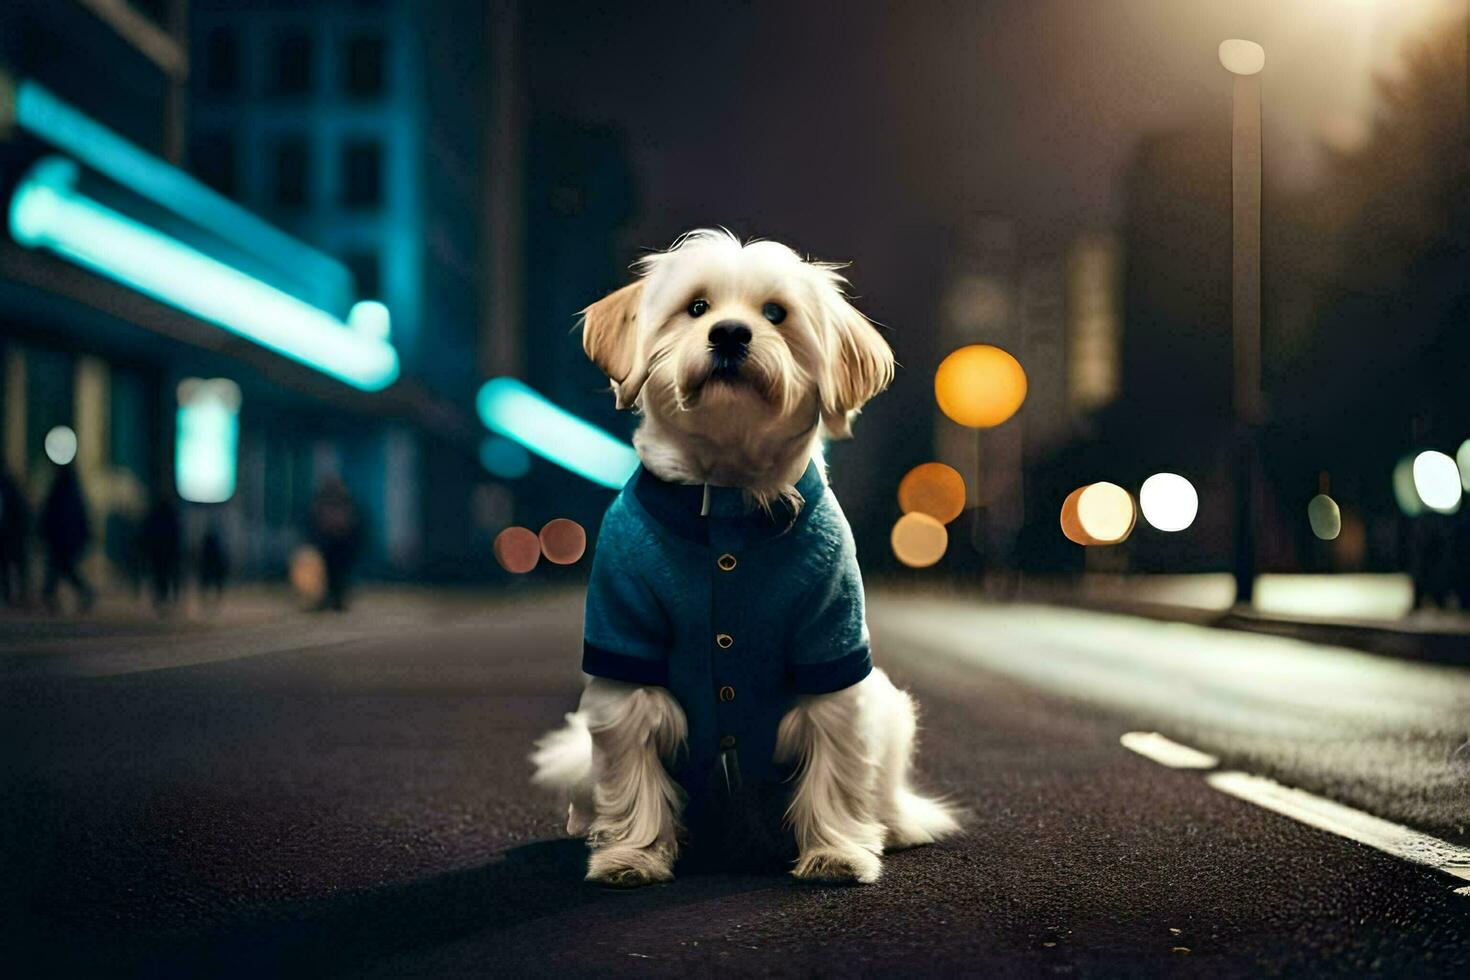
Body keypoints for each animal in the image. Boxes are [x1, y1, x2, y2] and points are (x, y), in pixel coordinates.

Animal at [535, 232, 958, 887]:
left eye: (776, 314)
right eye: (696, 308)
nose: (731, 333)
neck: (728, 501)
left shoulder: (830, 654)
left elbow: (836, 772)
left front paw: (836, 852)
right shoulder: (625, 655)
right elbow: (631, 776)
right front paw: (631, 855)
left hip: (888, 708)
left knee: (881, 791)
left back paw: (898, 824)